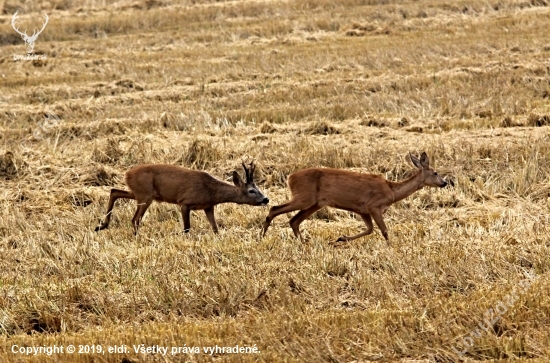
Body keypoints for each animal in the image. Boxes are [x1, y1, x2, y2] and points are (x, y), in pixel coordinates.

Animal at [95, 163, 270, 236]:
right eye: (251, 190)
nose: (266, 199)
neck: (211, 191)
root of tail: (127, 174)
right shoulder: (184, 203)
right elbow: (186, 228)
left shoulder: (208, 206)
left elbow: (215, 228)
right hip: (145, 196)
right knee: (135, 218)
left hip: (140, 193)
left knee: (114, 191)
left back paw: (101, 226)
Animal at [262, 152, 448, 243]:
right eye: (435, 172)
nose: (445, 183)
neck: (392, 191)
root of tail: (290, 177)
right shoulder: (374, 205)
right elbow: (384, 230)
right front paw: (392, 247)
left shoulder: (362, 210)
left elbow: (370, 229)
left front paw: (341, 238)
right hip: (304, 197)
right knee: (275, 208)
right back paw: (262, 235)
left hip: (315, 203)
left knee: (294, 220)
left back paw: (304, 243)